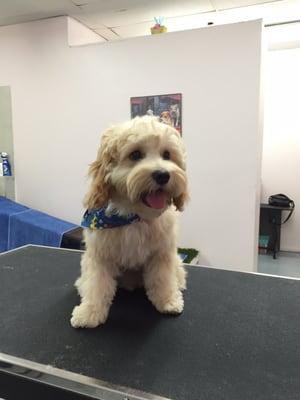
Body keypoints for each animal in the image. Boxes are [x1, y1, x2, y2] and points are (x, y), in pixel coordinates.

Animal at [70, 115, 188, 328]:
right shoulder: (99, 255)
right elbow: (96, 284)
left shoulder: (162, 253)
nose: (163, 175)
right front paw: (89, 312)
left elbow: (163, 278)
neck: (134, 216)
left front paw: (168, 300)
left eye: (167, 154)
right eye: (135, 154)